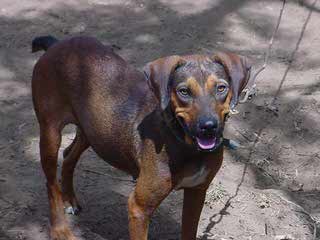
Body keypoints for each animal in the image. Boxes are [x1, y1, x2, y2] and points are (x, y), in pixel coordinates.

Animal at [32, 36, 251, 240]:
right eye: (184, 91)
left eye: (221, 88)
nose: (208, 126)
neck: (187, 146)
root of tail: (56, 44)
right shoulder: (139, 208)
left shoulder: (197, 192)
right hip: (50, 133)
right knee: (51, 184)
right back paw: (60, 229)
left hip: (93, 131)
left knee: (69, 155)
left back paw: (69, 200)